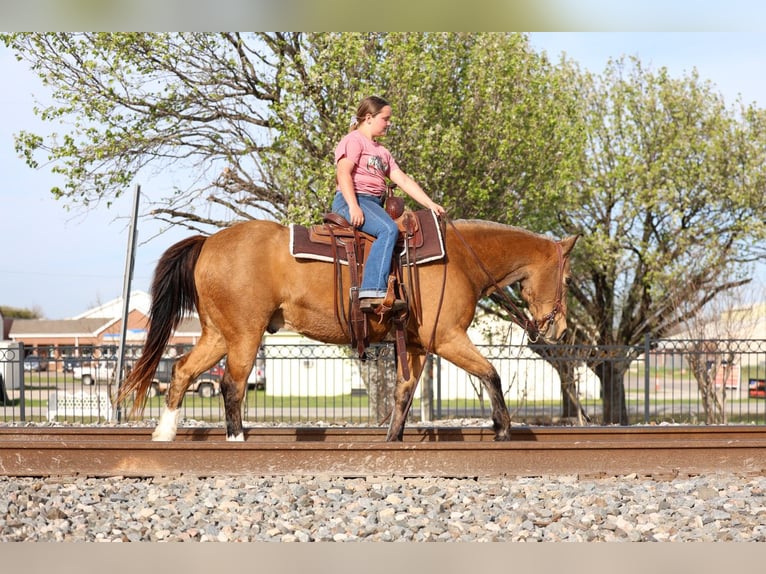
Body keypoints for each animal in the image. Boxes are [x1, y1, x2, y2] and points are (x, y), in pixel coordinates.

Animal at [116, 216, 578, 442]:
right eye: (569, 279)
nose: (559, 330)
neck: (460, 259)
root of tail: (208, 242)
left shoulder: (416, 345)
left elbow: (404, 392)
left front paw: (393, 437)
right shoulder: (446, 338)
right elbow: (491, 373)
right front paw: (503, 428)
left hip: (217, 334)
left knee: (182, 371)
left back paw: (164, 432)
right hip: (244, 334)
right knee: (232, 385)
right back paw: (236, 438)